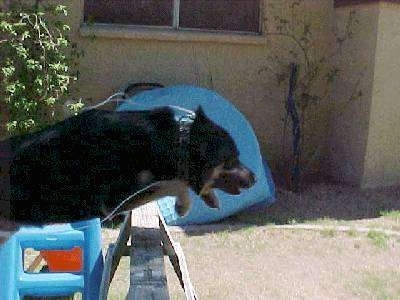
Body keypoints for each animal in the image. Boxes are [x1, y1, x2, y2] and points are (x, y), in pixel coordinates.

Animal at [0, 106, 255, 231]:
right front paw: (182, 205)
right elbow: (171, 184)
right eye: (233, 159)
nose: (255, 178)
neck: (174, 143)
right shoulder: (114, 199)